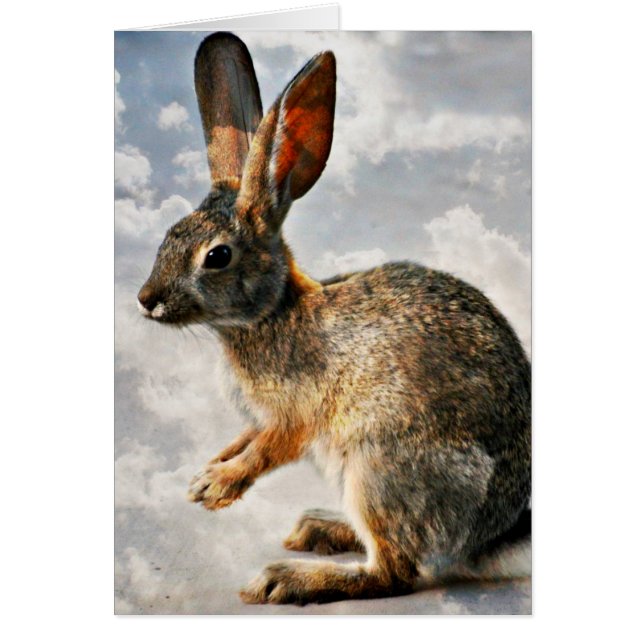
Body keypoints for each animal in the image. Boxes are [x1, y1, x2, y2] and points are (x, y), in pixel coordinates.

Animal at [137, 32, 531, 605]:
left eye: (217, 256)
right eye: (169, 234)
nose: (146, 299)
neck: (270, 314)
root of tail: (490, 537)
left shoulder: (296, 414)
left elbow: (269, 449)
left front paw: (215, 486)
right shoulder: (261, 418)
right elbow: (245, 439)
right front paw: (209, 469)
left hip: (379, 467)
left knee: (394, 571)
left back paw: (287, 578)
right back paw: (319, 529)